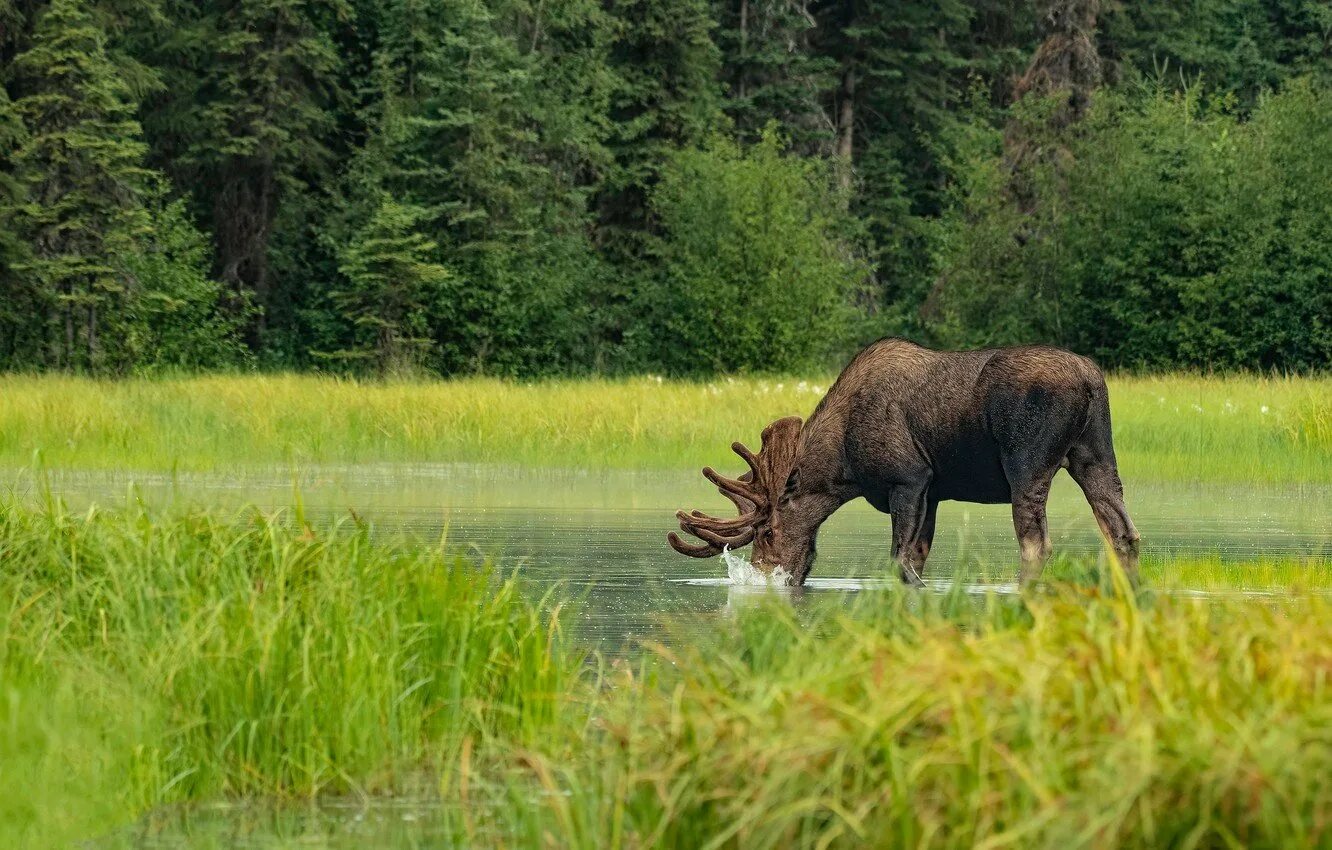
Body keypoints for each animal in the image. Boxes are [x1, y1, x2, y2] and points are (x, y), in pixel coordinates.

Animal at [671, 339, 1140, 586]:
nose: (760, 577)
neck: (843, 469)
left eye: (768, 532)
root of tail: (1090, 380)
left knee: (1036, 543)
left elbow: (901, 560)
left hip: (1027, 464)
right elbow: (916, 555)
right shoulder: (932, 492)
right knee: (1123, 532)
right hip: (1096, 454)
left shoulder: (909, 478)